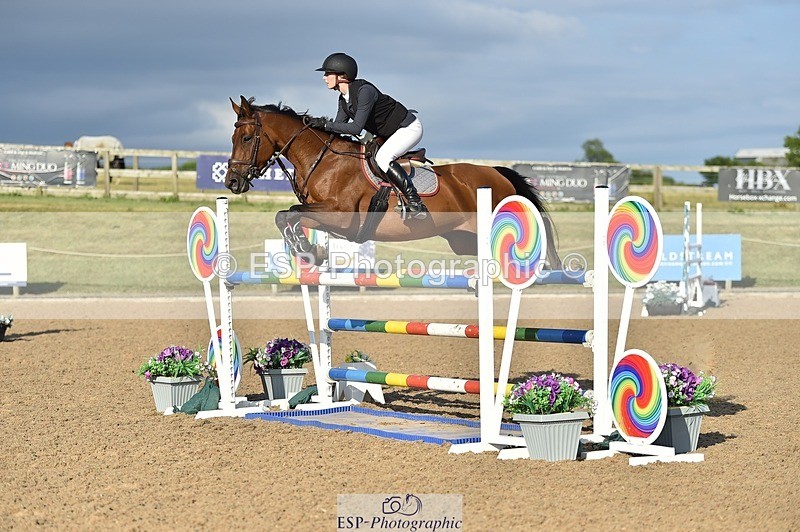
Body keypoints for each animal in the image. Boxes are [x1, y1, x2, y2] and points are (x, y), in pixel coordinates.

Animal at [225, 96, 560, 267]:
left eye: (246, 138)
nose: (231, 182)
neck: (324, 160)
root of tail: (497, 173)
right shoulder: (324, 216)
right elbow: (286, 215)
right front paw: (309, 251)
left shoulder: (342, 216)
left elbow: (290, 214)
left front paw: (305, 248)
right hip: (462, 240)